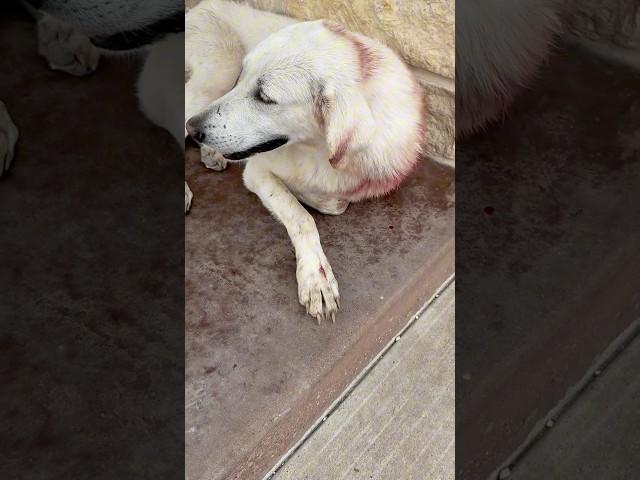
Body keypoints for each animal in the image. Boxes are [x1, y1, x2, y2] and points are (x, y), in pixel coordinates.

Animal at [185, 0, 424, 322]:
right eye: (242, 78)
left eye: (264, 97)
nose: (194, 129)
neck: (318, 151)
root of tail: (198, 7)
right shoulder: (257, 172)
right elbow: (302, 217)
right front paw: (316, 277)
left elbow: (335, 204)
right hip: (218, 74)